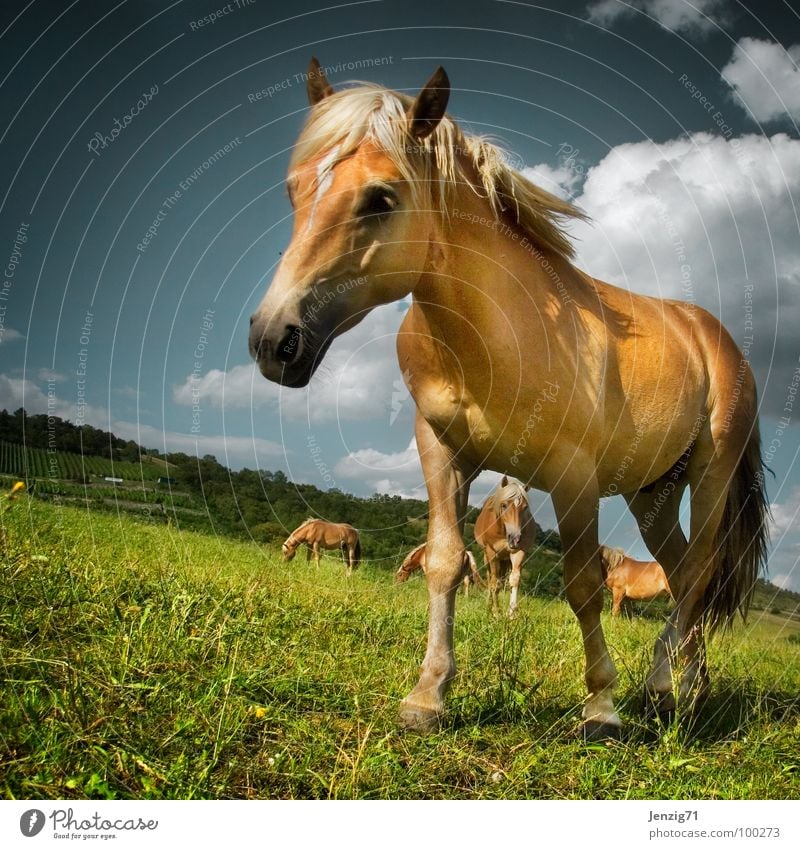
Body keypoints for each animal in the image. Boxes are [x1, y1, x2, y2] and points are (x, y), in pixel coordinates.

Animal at [472, 476, 540, 616]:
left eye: (525, 507)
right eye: (504, 505)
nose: (515, 538)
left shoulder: (518, 552)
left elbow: (514, 580)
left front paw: (511, 614)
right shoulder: (492, 553)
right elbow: (494, 583)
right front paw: (496, 613)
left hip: (505, 560)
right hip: (488, 558)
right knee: (490, 578)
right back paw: (488, 606)